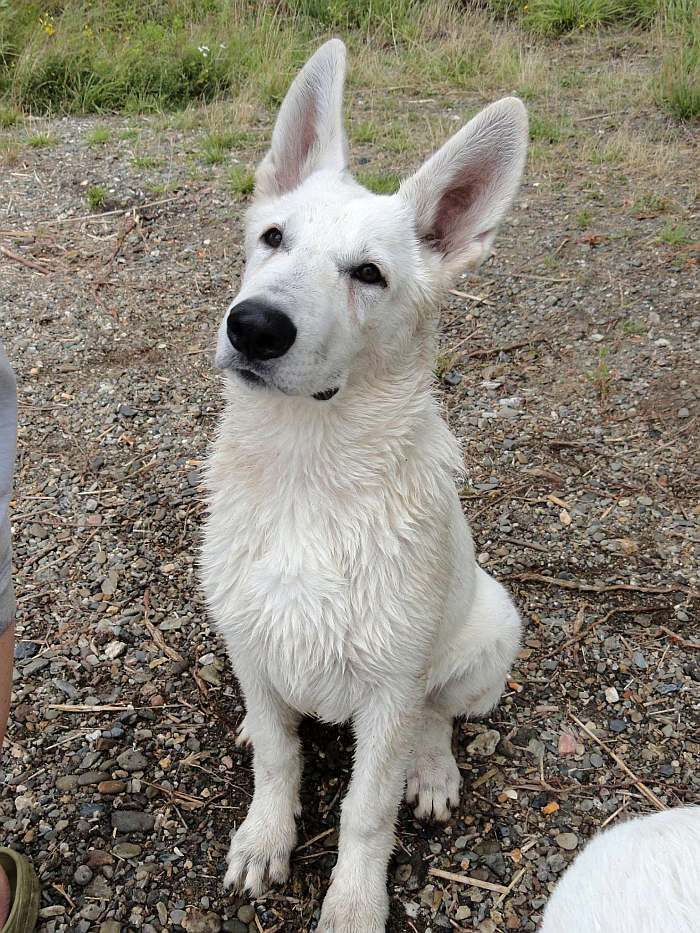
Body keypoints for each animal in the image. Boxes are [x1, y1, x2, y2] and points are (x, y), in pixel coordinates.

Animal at [200, 38, 528, 932]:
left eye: (369, 274)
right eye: (272, 237)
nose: (254, 326)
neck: (307, 474)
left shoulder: (387, 690)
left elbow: (366, 810)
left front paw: (352, 901)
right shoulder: (250, 640)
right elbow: (280, 759)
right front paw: (264, 835)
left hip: (488, 637)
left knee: (438, 715)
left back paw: (434, 768)